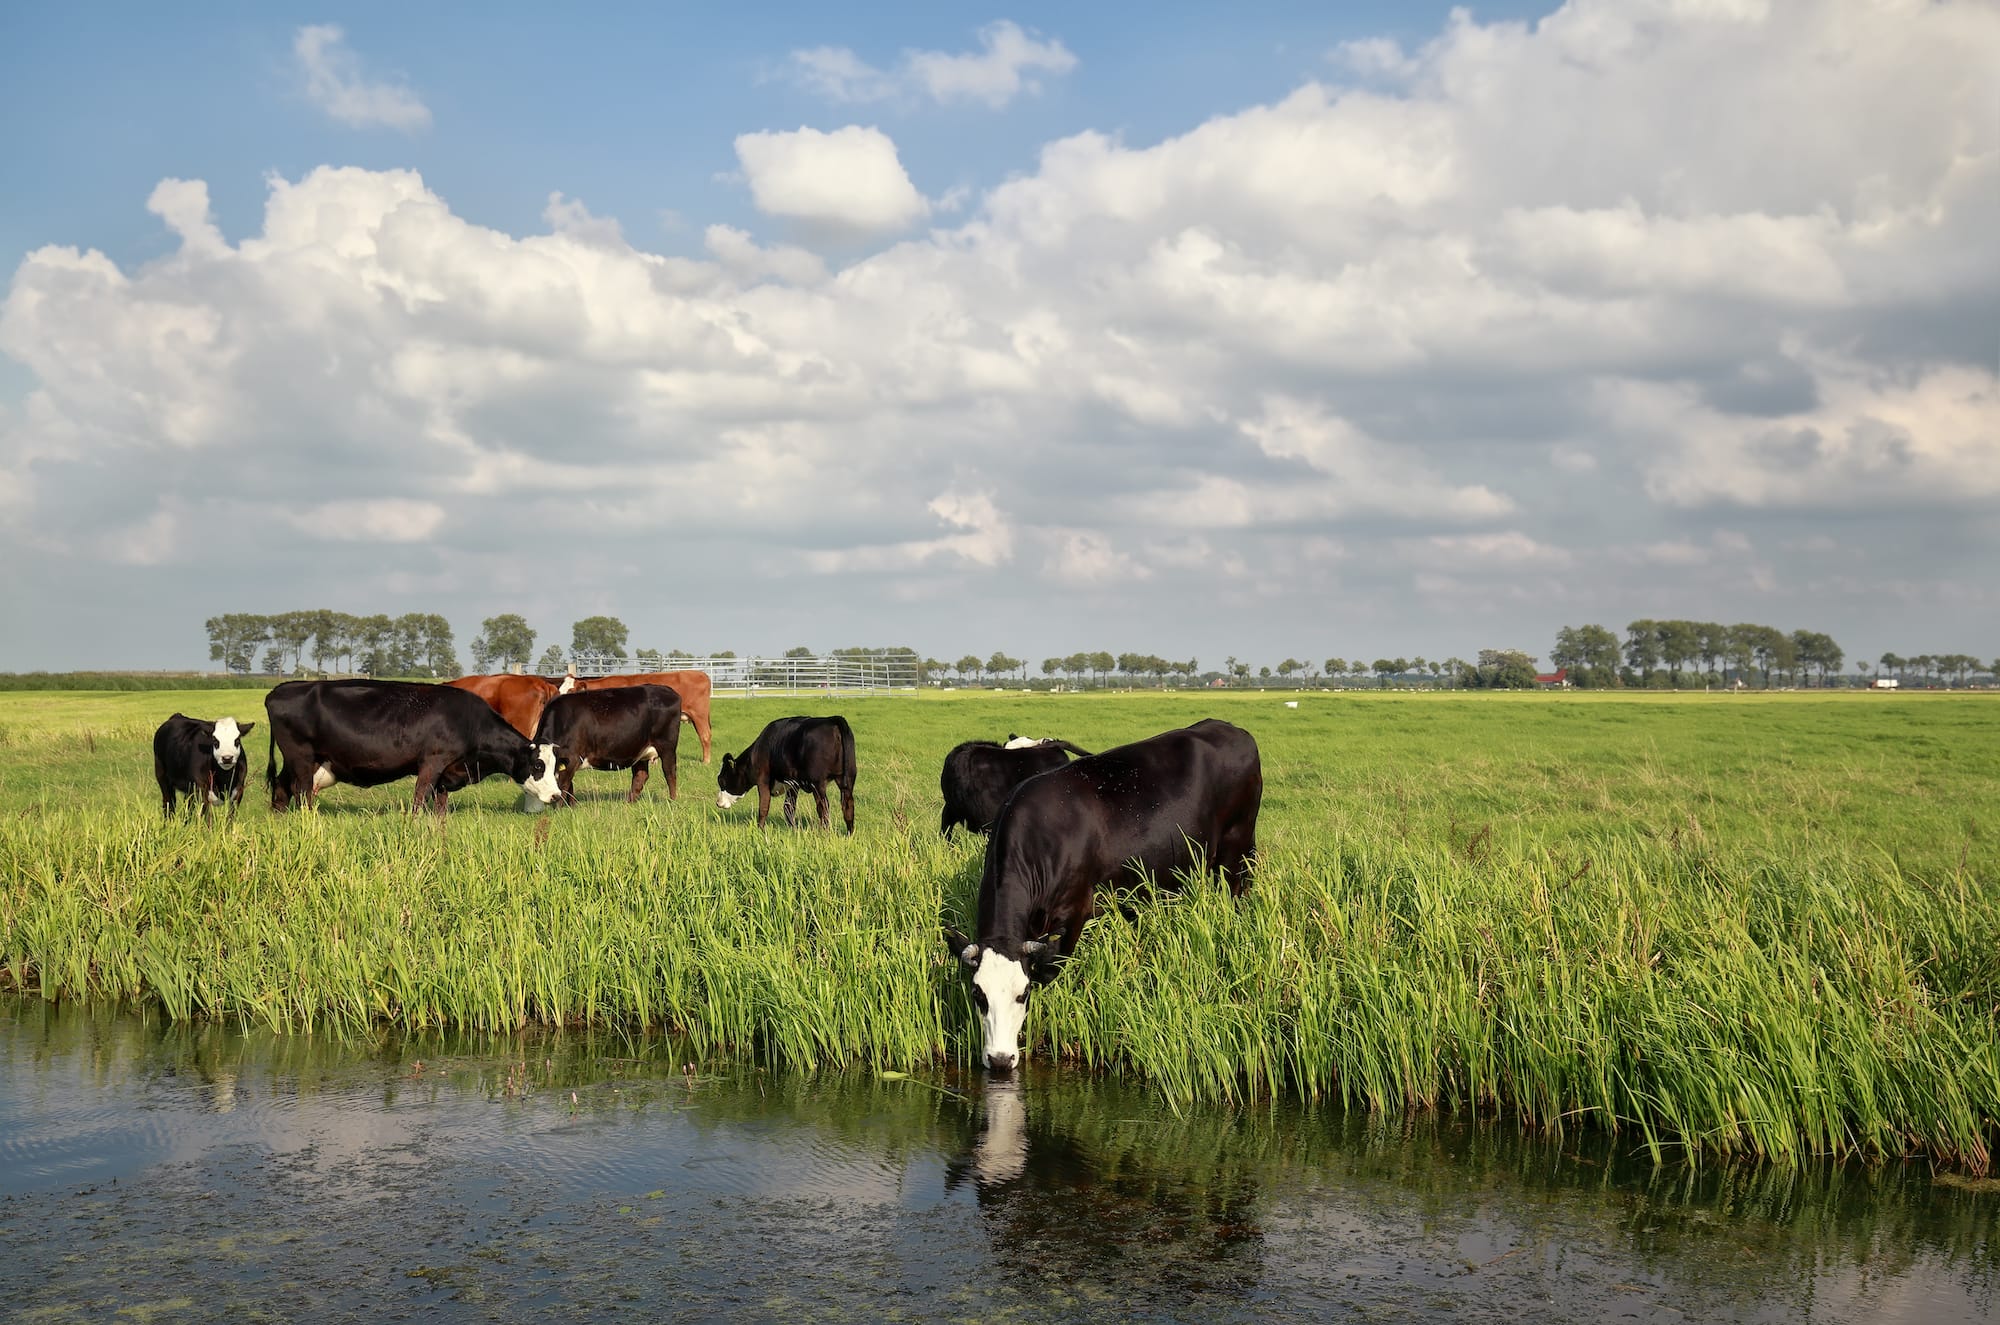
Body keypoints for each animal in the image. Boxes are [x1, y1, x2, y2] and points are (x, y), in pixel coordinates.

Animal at [265, 679, 563, 814]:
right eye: (538, 765)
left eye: (555, 766)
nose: (557, 796)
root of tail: (281, 688)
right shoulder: (432, 762)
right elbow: (419, 798)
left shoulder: (446, 773)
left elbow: (440, 804)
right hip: (301, 758)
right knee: (302, 792)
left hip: (299, 761)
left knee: (281, 789)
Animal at [532, 684, 683, 804]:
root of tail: (668, 690)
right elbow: (569, 787)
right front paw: (572, 807)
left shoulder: (571, 758)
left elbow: (563, 785)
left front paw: (559, 809)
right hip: (639, 749)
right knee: (640, 776)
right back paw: (628, 804)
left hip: (667, 746)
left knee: (670, 773)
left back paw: (673, 801)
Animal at [714, 715, 856, 832]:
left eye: (721, 780)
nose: (717, 802)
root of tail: (832, 719)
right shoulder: (792, 784)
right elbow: (789, 808)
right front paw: (793, 830)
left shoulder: (763, 780)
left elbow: (764, 807)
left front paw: (760, 830)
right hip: (847, 779)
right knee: (848, 805)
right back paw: (849, 834)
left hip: (818, 783)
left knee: (823, 807)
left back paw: (824, 833)